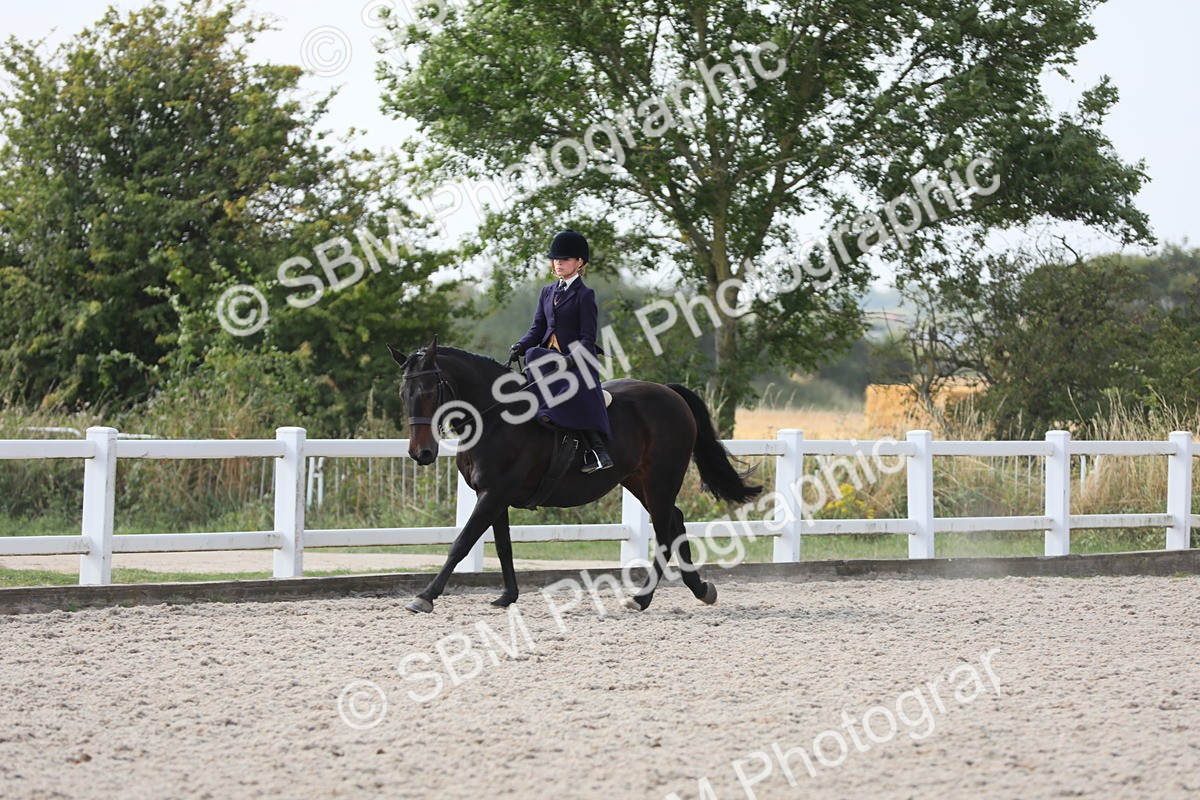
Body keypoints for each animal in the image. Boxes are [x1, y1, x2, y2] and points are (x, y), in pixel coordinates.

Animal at [388, 337, 761, 614]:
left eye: (429, 392)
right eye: (403, 394)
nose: (421, 453)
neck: (495, 418)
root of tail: (668, 392)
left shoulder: (494, 494)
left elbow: (462, 543)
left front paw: (425, 596)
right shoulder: (494, 495)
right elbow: (503, 546)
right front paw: (507, 596)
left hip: (661, 480)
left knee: (666, 533)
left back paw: (641, 598)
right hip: (638, 481)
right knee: (677, 521)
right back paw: (701, 590)